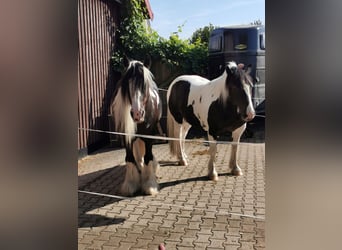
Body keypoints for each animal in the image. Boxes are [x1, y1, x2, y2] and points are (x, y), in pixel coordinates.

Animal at [110, 57, 162, 196]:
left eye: (145, 85)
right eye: (128, 84)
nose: (137, 114)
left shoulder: (149, 137)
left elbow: (148, 157)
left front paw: (149, 185)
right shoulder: (127, 137)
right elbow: (129, 158)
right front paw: (130, 185)